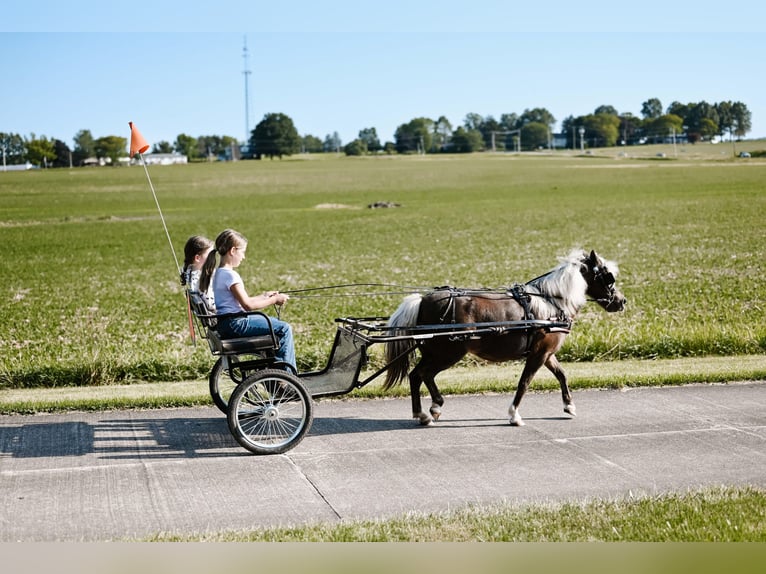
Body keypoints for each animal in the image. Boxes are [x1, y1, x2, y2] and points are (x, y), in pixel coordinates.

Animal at [388, 251, 628, 428]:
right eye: (607, 276)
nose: (621, 301)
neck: (552, 304)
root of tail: (422, 300)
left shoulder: (546, 353)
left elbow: (561, 374)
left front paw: (569, 406)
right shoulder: (539, 355)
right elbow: (524, 382)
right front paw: (514, 415)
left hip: (433, 353)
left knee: (416, 376)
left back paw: (426, 411)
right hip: (448, 353)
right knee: (424, 374)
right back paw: (431, 409)